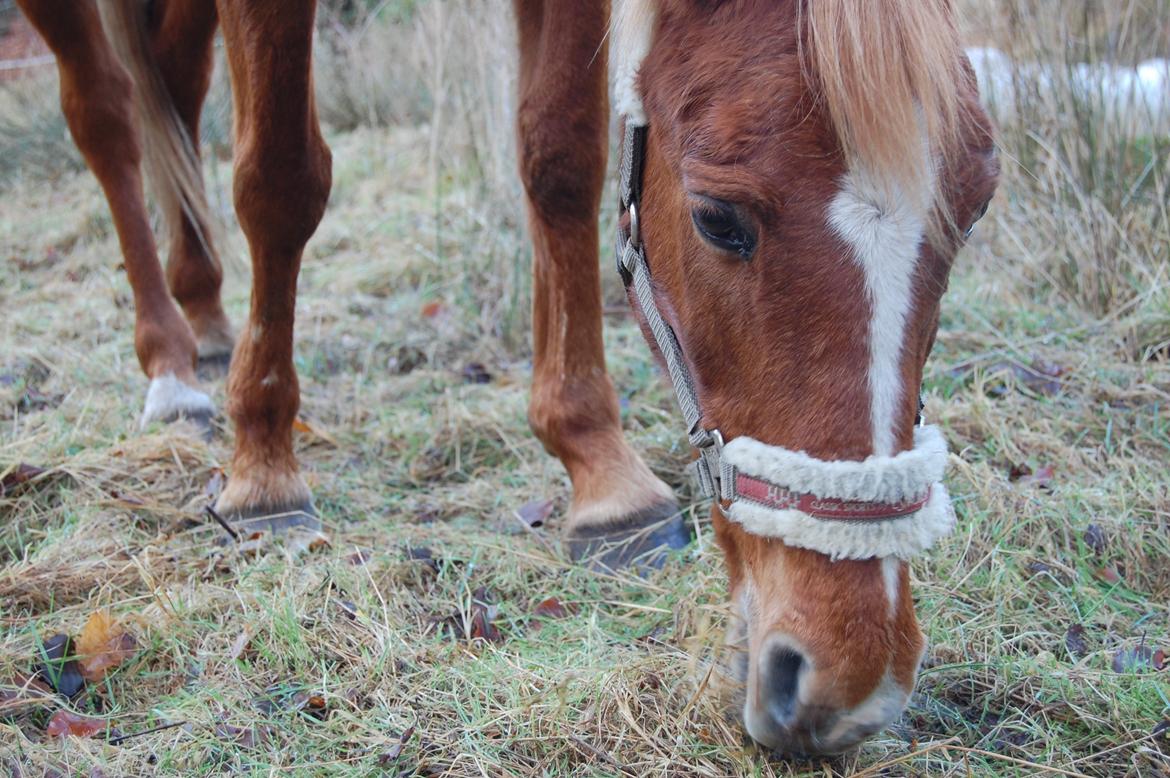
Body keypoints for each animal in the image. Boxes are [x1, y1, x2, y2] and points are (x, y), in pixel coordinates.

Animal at [16, 0, 996, 753]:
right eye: (719, 220)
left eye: (977, 205)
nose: (847, 679)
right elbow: (280, 176)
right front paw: (262, 463)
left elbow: (561, 156)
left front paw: (600, 471)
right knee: (106, 114)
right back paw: (173, 366)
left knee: (172, 88)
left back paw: (209, 319)